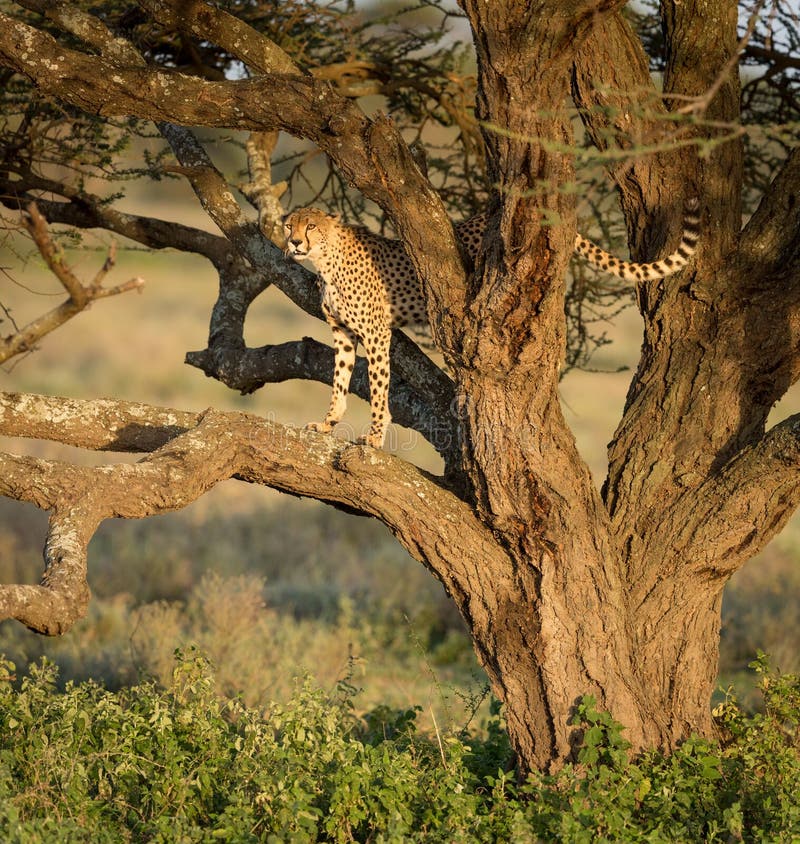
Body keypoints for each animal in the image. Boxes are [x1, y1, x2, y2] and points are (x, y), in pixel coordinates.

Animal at [284, 199, 696, 448]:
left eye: (311, 226)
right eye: (290, 225)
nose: (293, 243)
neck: (325, 261)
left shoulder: (376, 334)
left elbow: (378, 387)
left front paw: (373, 437)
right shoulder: (343, 334)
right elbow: (339, 380)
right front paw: (328, 423)